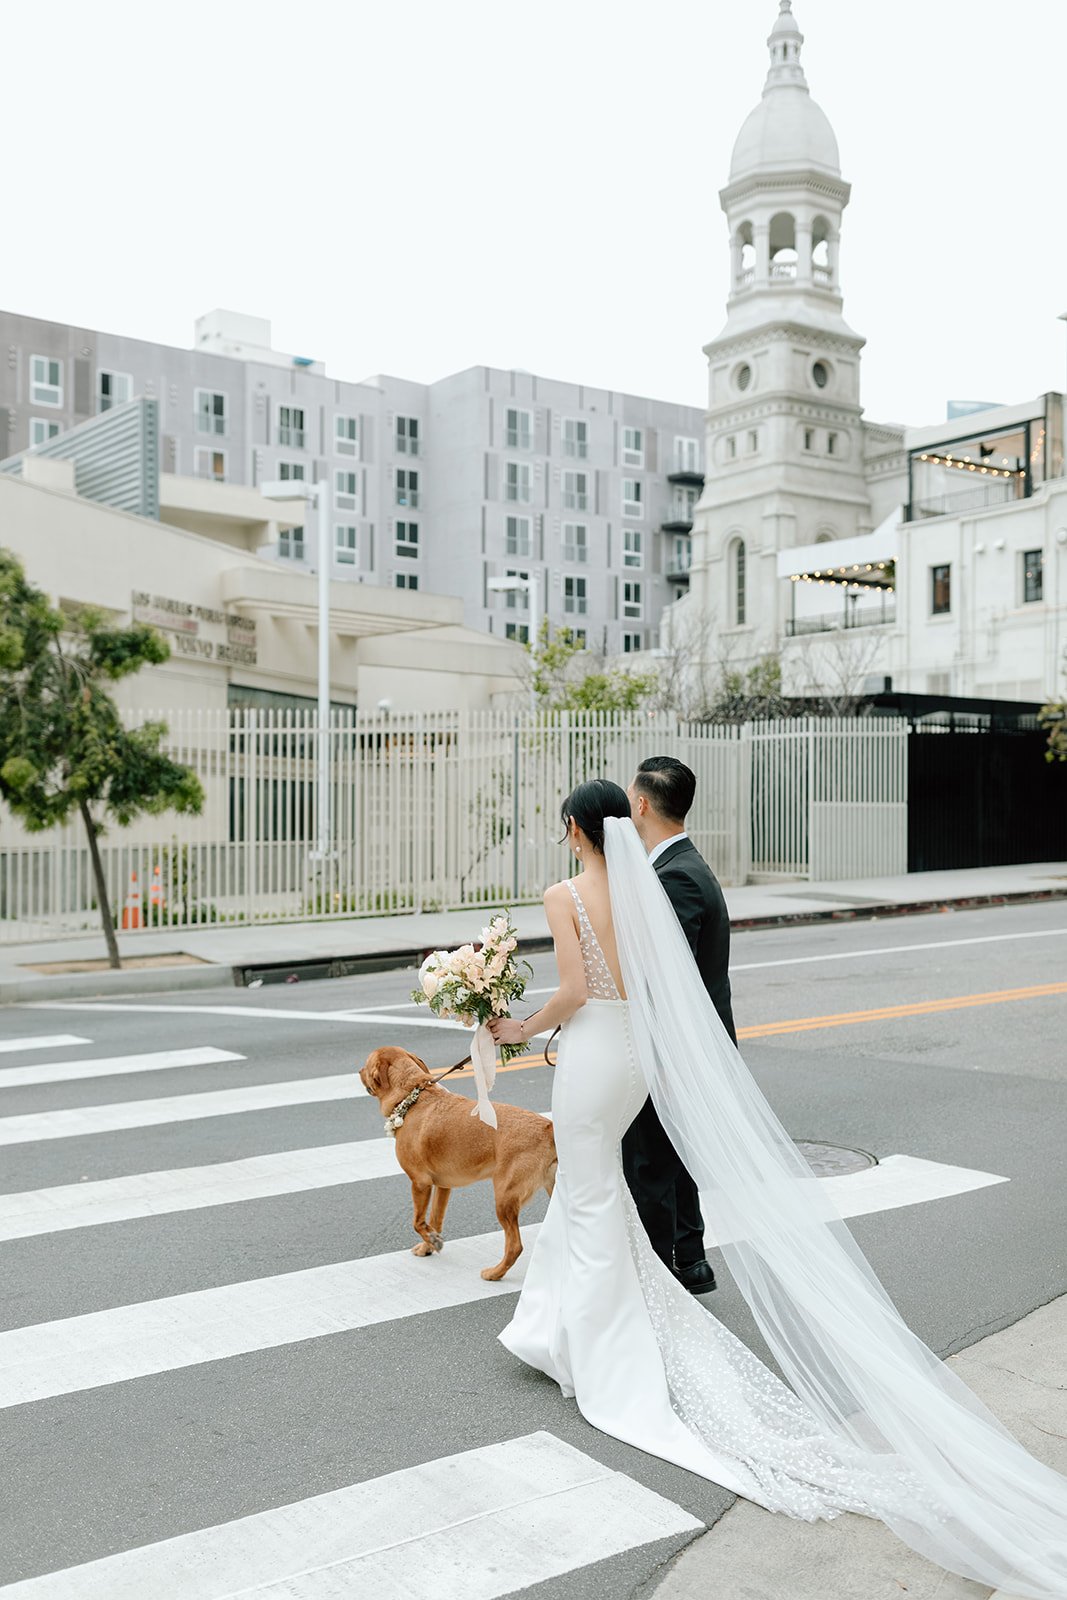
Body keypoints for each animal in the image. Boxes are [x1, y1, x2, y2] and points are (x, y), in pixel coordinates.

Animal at [361, 1043, 559, 1280]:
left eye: (366, 1064)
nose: (358, 1071)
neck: (412, 1096)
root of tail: (547, 1127)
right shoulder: (443, 1186)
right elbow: (435, 1220)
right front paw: (429, 1245)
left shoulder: (420, 1183)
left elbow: (418, 1222)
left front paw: (431, 1241)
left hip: (504, 1198)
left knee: (514, 1246)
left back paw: (494, 1273)